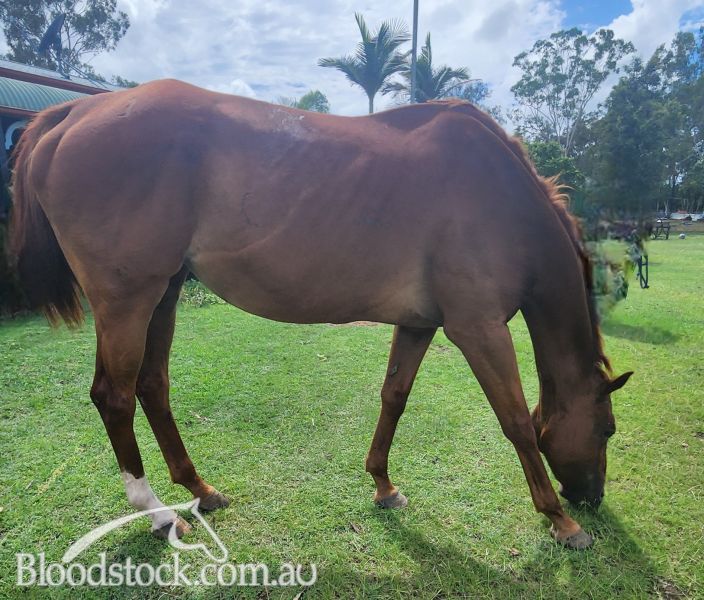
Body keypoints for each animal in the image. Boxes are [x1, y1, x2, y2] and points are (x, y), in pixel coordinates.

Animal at [9, 80, 632, 550]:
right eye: (607, 428)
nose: (592, 499)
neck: (501, 198)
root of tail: (74, 111)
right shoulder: (478, 330)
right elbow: (518, 423)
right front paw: (560, 522)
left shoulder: (419, 323)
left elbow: (394, 396)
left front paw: (382, 484)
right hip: (126, 300)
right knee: (113, 398)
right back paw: (160, 514)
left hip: (162, 295)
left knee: (151, 387)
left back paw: (202, 490)